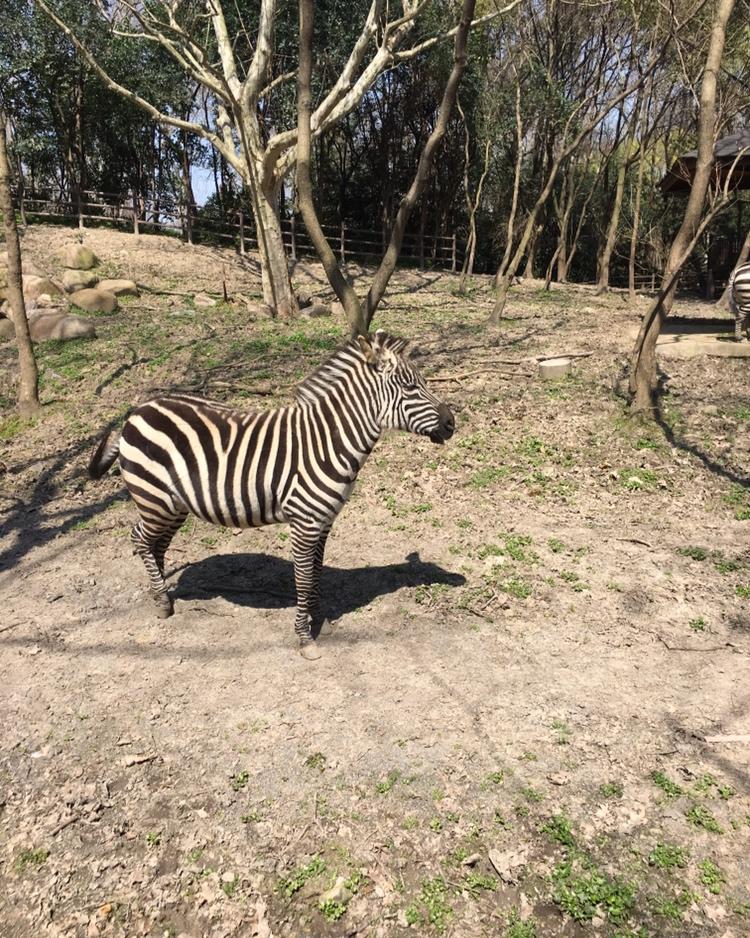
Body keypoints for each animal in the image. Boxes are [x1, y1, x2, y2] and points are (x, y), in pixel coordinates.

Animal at [86, 330, 456, 660]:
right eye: (410, 387)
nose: (452, 423)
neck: (329, 441)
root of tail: (136, 412)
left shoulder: (324, 522)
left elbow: (316, 572)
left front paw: (318, 617)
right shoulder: (305, 522)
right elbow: (303, 579)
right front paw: (305, 638)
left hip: (175, 504)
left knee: (156, 545)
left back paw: (161, 593)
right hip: (155, 498)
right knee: (140, 539)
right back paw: (162, 603)